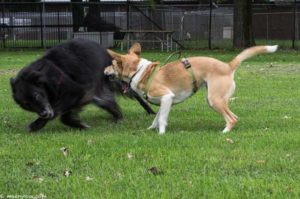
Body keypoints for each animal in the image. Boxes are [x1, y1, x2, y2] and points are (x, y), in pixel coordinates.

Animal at [10, 38, 154, 132]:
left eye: (37, 96)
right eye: (27, 105)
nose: (44, 114)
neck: (49, 76)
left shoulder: (78, 91)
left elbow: (62, 114)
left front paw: (36, 125)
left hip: (116, 81)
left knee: (135, 94)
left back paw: (149, 111)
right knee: (107, 101)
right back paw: (117, 115)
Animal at [104, 43, 278, 134]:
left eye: (111, 64)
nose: (104, 71)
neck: (140, 71)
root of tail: (228, 66)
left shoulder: (166, 97)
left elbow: (162, 119)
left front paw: (161, 134)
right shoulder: (164, 102)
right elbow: (156, 118)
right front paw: (150, 129)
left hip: (214, 100)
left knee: (232, 118)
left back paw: (224, 133)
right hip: (216, 99)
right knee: (234, 116)